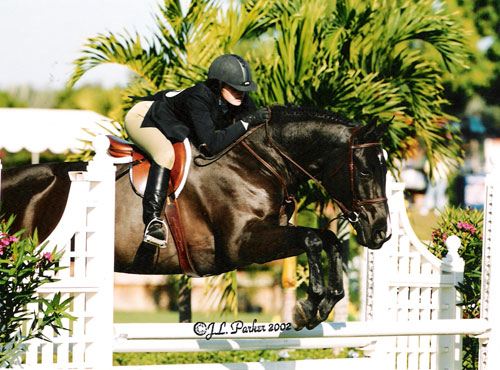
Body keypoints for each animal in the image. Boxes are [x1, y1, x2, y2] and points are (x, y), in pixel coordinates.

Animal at [0, 105, 390, 328]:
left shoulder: (270, 233)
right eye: (365, 170)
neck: (262, 161)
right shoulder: (241, 245)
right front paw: (309, 307)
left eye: (386, 169)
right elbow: (313, 238)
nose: (381, 232)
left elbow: (328, 240)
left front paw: (325, 302)